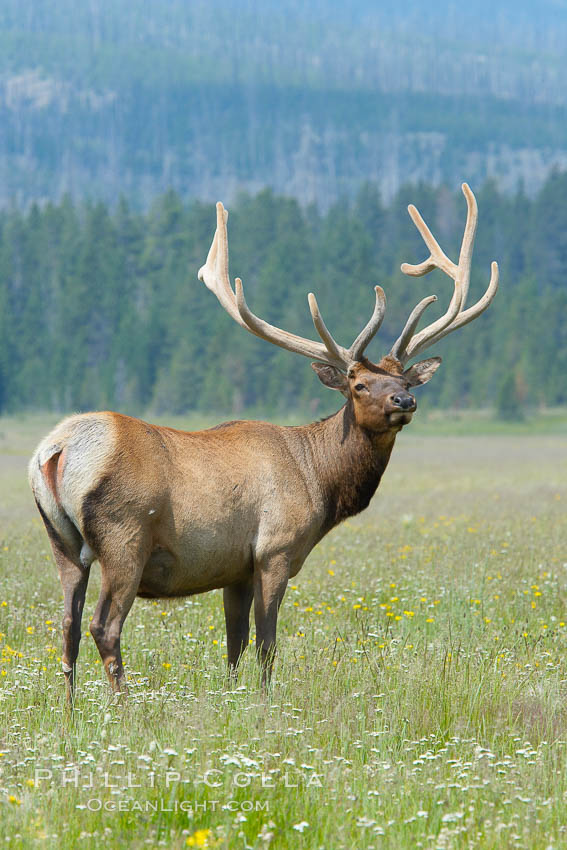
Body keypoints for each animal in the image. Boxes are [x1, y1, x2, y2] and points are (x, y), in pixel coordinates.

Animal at [28, 184, 496, 696]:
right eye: (359, 385)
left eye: (406, 380)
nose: (405, 401)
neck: (319, 479)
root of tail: (57, 450)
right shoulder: (274, 549)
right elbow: (266, 643)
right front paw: (265, 700)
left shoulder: (234, 567)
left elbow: (233, 643)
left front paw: (234, 696)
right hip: (124, 538)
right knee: (103, 626)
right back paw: (123, 704)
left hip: (62, 543)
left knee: (68, 626)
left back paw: (72, 707)